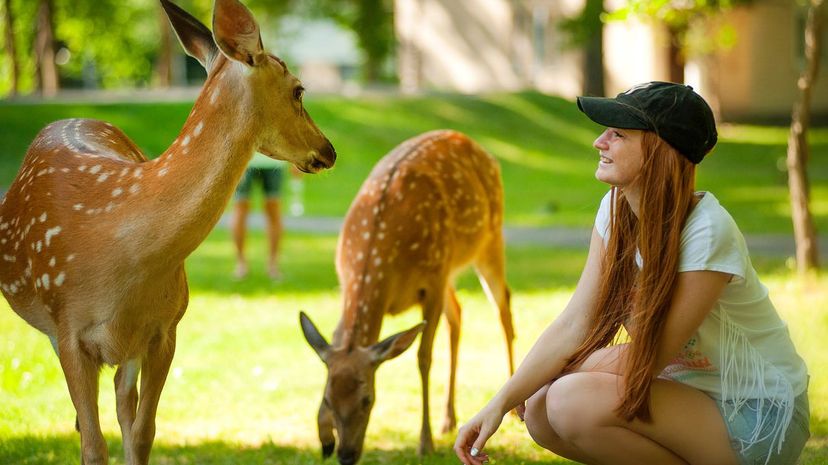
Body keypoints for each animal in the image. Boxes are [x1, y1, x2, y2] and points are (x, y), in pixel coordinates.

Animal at [0, 0, 336, 464]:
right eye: (299, 89)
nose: (328, 150)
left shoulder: (166, 329)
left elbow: (143, 432)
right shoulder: (68, 330)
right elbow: (92, 445)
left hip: (129, 344)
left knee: (123, 404)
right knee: (90, 418)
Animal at [300, 129, 516, 462]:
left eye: (367, 399)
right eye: (327, 399)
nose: (346, 455)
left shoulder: (432, 283)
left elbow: (423, 358)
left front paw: (424, 443)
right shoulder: (347, 284)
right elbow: (334, 340)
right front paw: (323, 438)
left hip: (488, 240)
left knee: (502, 306)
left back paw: (513, 409)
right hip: (450, 266)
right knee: (459, 313)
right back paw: (448, 418)